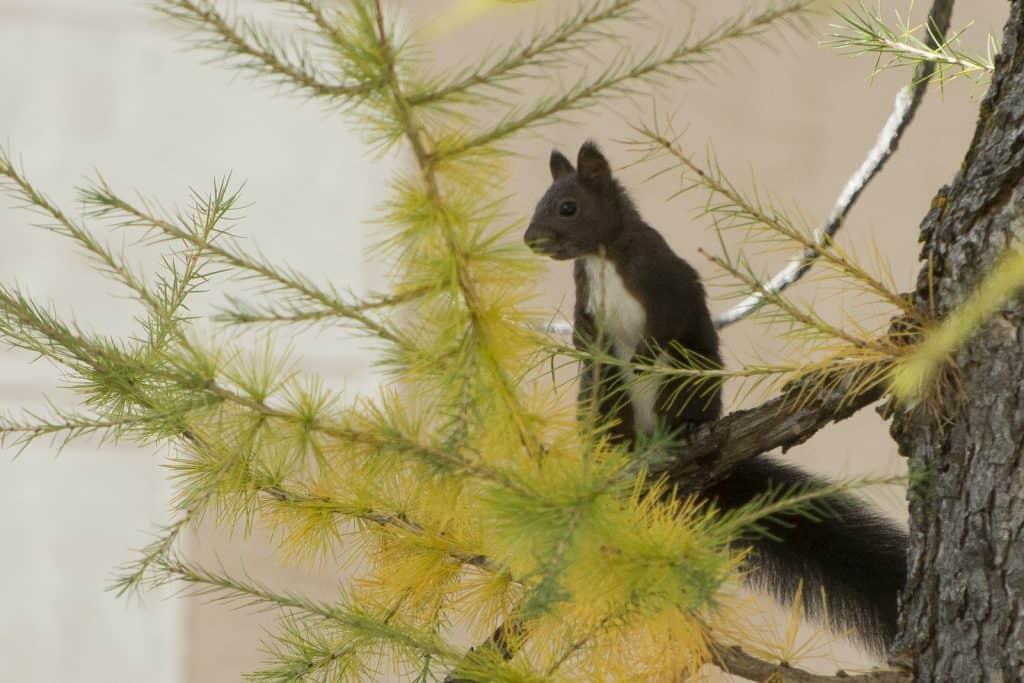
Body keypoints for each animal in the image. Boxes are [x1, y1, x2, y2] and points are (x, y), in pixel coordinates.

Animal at [524, 141, 907, 655]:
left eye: (568, 206)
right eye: (540, 201)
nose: (531, 239)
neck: (603, 258)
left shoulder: (666, 282)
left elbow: (667, 323)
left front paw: (643, 355)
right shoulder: (586, 300)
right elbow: (587, 333)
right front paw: (589, 345)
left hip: (688, 382)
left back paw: (685, 430)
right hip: (604, 400)